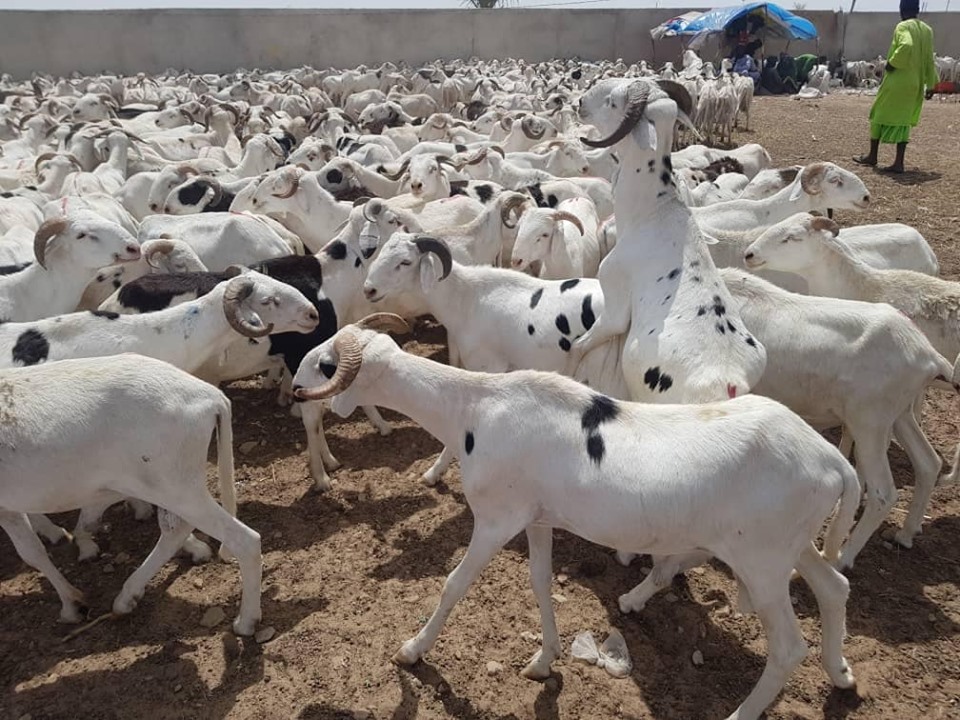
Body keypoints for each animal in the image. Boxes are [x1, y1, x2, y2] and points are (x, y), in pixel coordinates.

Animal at [0, 353, 262, 635]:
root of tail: (210, 395)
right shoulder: (8, 508)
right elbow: (33, 551)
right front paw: (73, 602)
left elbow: (31, 553)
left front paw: (72, 605)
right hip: (166, 486)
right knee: (174, 530)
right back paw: (128, 597)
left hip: (176, 487)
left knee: (245, 540)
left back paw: (246, 621)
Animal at [292, 315, 859, 720]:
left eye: (325, 364)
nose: (295, 391)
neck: (474, 406)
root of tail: (833, 460)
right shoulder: (538, 518)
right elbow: (541, 582)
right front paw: (544, 662)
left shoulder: (496, 519)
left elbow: (455, 583)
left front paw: (412, 651)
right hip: (791, 547)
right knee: (834, 588)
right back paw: (841, 673)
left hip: (762, 562)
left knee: (787, 649)